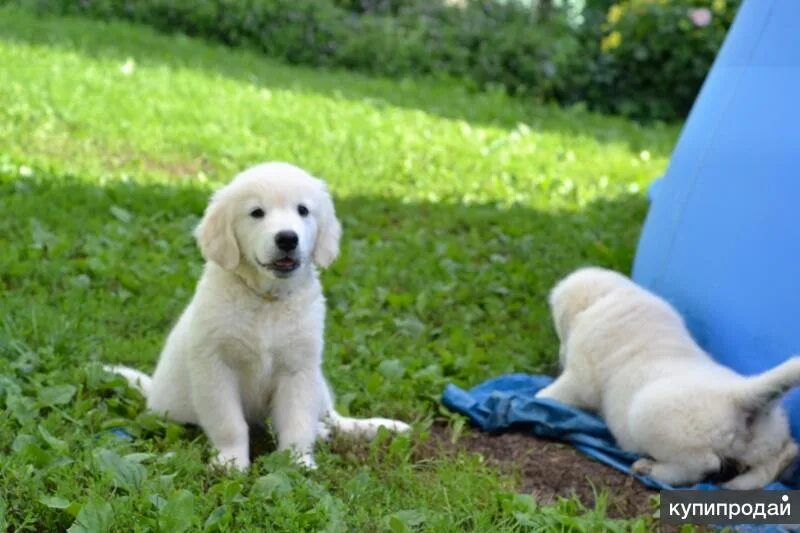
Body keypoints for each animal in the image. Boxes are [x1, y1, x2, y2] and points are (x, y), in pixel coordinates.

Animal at [105, 163, 410, 470]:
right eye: (256, 212)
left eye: (303, 210)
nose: (287, 238)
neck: (267, 300)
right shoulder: (215, 366)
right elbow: (229, 423)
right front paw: (230, 462)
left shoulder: (300, 368)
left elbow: (298, 421)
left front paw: (298, 462)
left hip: (319, 383)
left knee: (333, 417)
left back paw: (376, 427)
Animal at [536, 268, 800, 488]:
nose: (559, 356)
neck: (613, 296)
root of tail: (737, 396)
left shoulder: (581, 376)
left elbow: (558, 392)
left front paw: (539, 396)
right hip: (770, 439)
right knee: (784, 455)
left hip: (650, 416)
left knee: (703, 464)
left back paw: (650, 469)